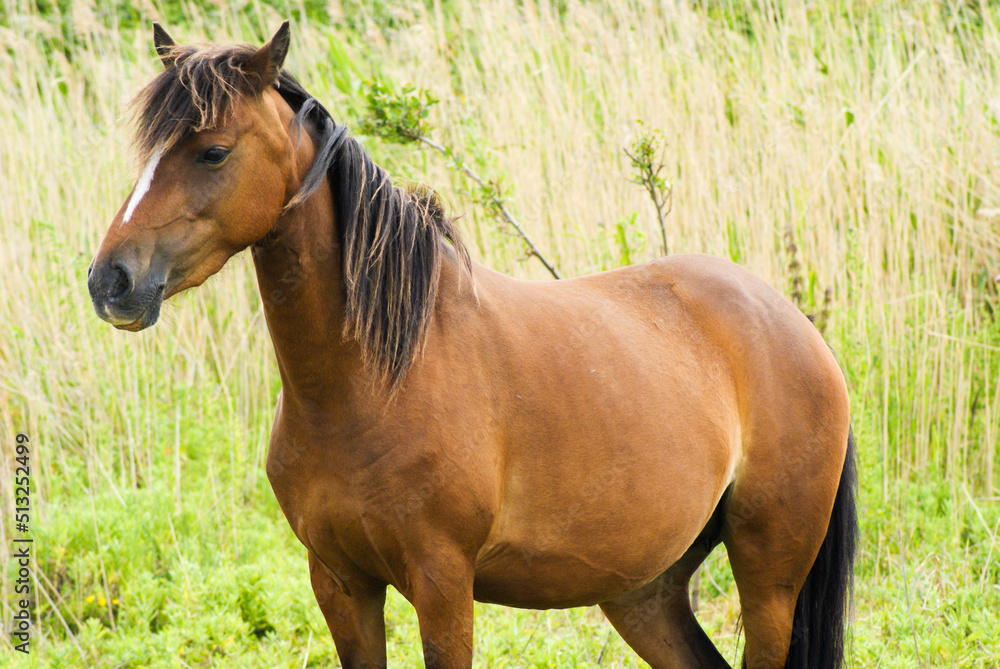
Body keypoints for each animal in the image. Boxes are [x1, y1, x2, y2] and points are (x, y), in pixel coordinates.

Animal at [87, 22, 857, 669]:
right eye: (148, 153)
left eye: (214, 151)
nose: (110, 280)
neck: (372, 381)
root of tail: (797, 329)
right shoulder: (341, 583)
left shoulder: (443, 584)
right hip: (644, 592)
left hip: (768, 580)